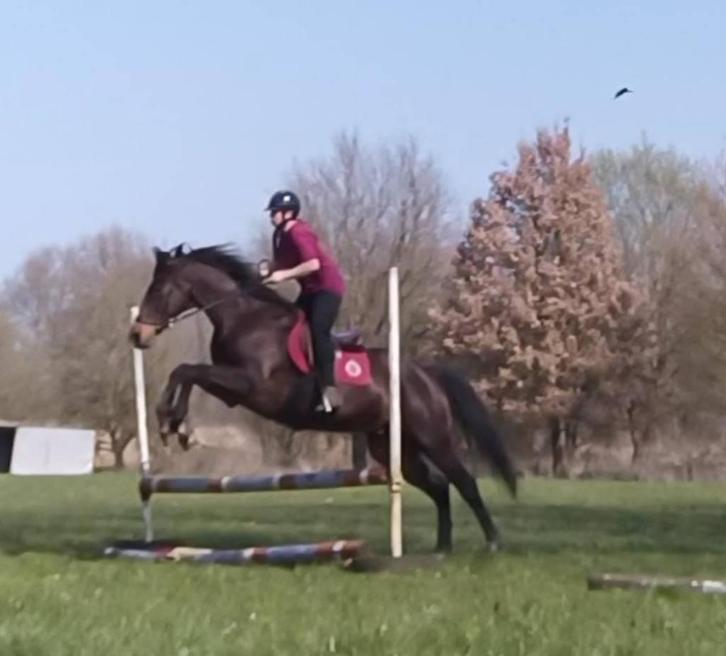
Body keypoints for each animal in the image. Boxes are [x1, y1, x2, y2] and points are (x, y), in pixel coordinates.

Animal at [129, 244, 517, 552]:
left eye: (159, 289)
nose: (137, 335)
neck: (245, 317)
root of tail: (424, 373)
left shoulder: (251, 384)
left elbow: (186, 370)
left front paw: (171, 423)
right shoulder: (232, 391)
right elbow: (187, 372)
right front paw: (178, 426)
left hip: (433, 437)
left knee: (464, 482)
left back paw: (493, 542)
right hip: (394, 446)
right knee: (438, 486)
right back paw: (442, 546)